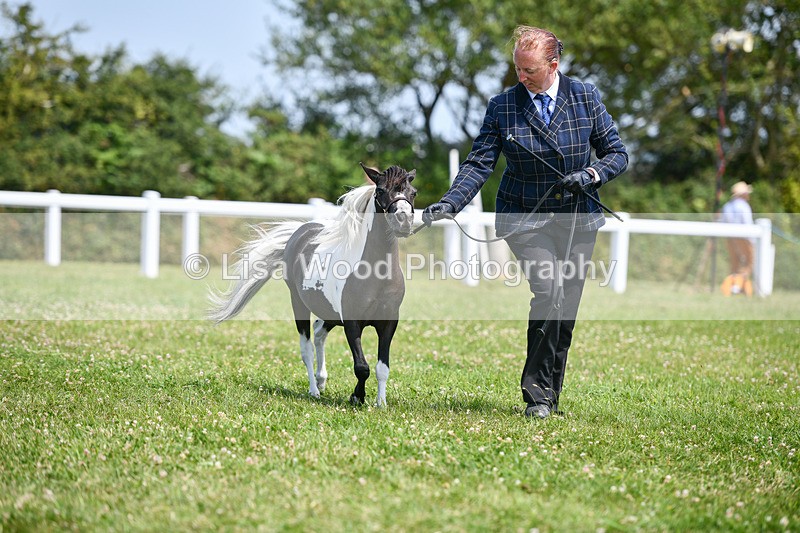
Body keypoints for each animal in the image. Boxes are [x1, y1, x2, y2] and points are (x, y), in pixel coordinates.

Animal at [208, 163, 417, 407]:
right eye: (381, 191)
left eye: (413, 192)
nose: (403, 221)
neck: (376, 274)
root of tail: (298, 234)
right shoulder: (352, 322)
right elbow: (362, 367)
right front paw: (357, 397)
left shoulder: (389, 323)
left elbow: (382, 367)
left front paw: (381, 403)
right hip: (299, 304)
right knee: (306, 348)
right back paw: (314, 390)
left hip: (329, 313)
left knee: (318, 333)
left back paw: (321, 380)